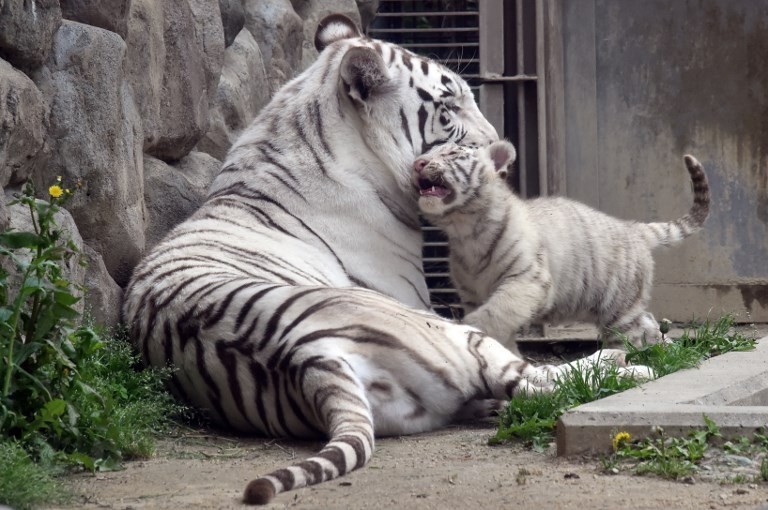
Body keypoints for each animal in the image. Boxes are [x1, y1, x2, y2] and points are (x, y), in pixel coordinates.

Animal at [124, 12, 636, 506]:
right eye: (448, 108)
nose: (499, 147)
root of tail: (309, 360)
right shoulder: (416, 294)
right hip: (446, 331)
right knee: (542, 379)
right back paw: (628, 361)